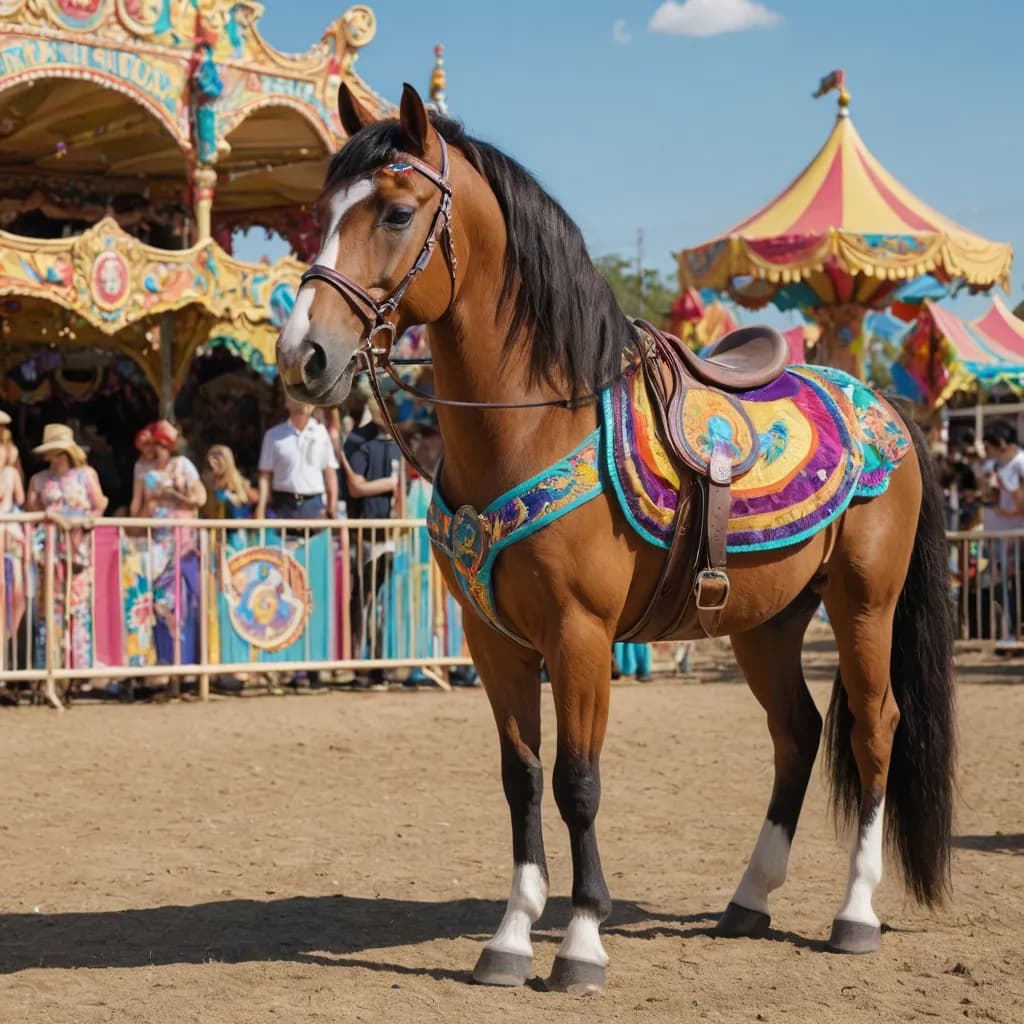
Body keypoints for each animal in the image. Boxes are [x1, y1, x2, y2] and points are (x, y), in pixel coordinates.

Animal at [276, 83, 956, 995]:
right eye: (322, 212)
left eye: (395, 211)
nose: (303, 355)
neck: (536, 421)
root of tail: (883, 405)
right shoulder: (495, 642)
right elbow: (522, 779)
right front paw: (510, 937)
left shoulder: (581, 637)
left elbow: (578, 781)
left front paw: (582, 942)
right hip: (766, 622)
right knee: (798, 733)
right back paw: (748, 899)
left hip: (862, 606)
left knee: (874, 728)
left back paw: (854, 913)